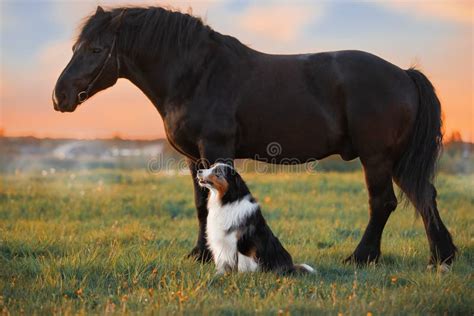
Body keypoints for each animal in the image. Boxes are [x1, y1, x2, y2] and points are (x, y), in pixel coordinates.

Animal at [52, 6, 456, 268]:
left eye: (96, 49)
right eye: (74, 48)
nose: (59, 97)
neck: (198, 73)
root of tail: (403, 73)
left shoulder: (216, 149)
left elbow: (214, 202)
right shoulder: (193, 158)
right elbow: (200, 205)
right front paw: (199, 255)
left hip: (376, 157)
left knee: (383, 202)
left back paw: (362, 257)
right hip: (398, 159)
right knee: (424, 197)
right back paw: (442, 256)